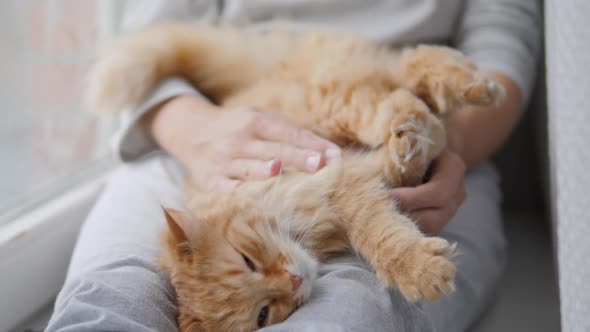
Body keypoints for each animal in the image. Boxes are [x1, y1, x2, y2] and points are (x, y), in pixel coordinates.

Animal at [86, 24, 504, 332]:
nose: (294, 280)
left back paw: (474, 89)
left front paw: (420, 269)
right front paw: (417, 146)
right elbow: (405, 166)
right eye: (263, 314)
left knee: (407, 72)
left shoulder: (336, 176)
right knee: (411, 77)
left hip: (333, 102)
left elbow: (383, 234)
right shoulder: (357, 171)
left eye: (247, 260)